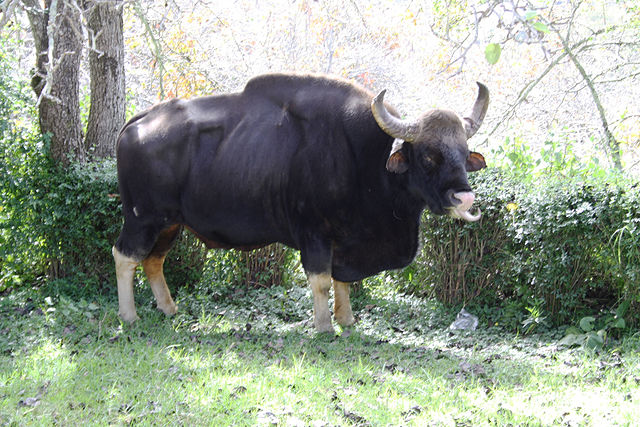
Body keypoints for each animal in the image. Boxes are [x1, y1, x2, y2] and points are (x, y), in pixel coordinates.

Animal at [112, 73, 489, 333]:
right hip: (143, 218)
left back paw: (169, 309)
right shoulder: (314, 233)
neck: (365, 158)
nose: (464, 196)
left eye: (464, 152)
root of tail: (135, 122)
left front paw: (346, 319)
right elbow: (321, 279)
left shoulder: (346, 239)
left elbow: (342, 279)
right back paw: (129, 316)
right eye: (428, 156)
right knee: (125, 256)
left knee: (153, 261)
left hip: (169, 223)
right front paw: (323, 326)